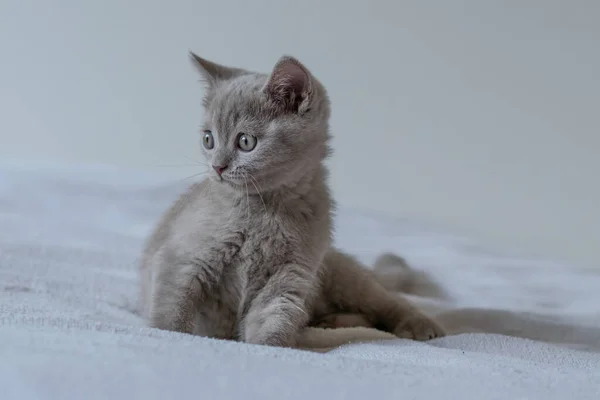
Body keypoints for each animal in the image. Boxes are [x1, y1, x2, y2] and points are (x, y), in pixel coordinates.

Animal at [138, 53, 442, 346]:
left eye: (245, 142)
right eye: (208, 139)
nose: (217, 167)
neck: (266, 208)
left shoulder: (291, 274)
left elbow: (274, 316)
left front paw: (267, 347)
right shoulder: (182, 259)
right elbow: (171, 312)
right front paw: (169, 335)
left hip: (343, 276)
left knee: (387, 302)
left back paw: (419, 325)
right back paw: (328, 322)